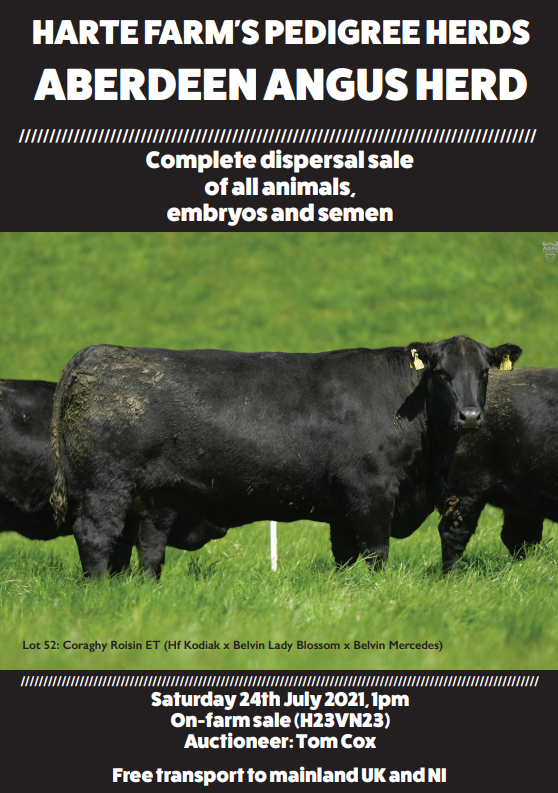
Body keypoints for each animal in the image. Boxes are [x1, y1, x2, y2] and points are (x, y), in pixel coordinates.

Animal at [49, 336, 522, 578]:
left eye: (485, 373)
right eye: (441, 373)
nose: (470, 415)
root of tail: (98, 351)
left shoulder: (343, 507)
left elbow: (345, 555)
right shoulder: (371, 490)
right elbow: (375, 552)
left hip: (152, 494)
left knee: (145, 542)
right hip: (106, 485)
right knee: (97, 536)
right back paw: (99, 588)